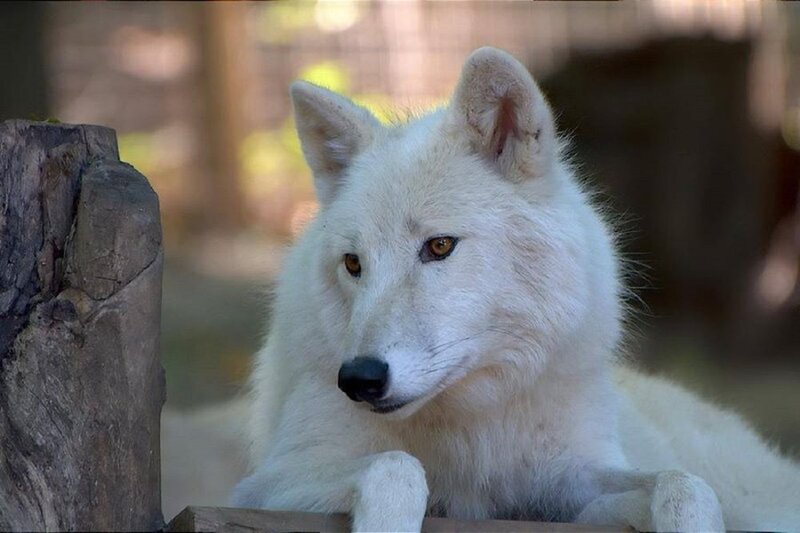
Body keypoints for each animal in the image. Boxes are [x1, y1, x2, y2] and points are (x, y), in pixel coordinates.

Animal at [231, 47, 800, 531]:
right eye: (354, 264)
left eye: (439, 246)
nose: (359, 379)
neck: (472, 425)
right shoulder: (265, 483)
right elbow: (396, 469)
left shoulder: (564, 482)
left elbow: (685, 486)